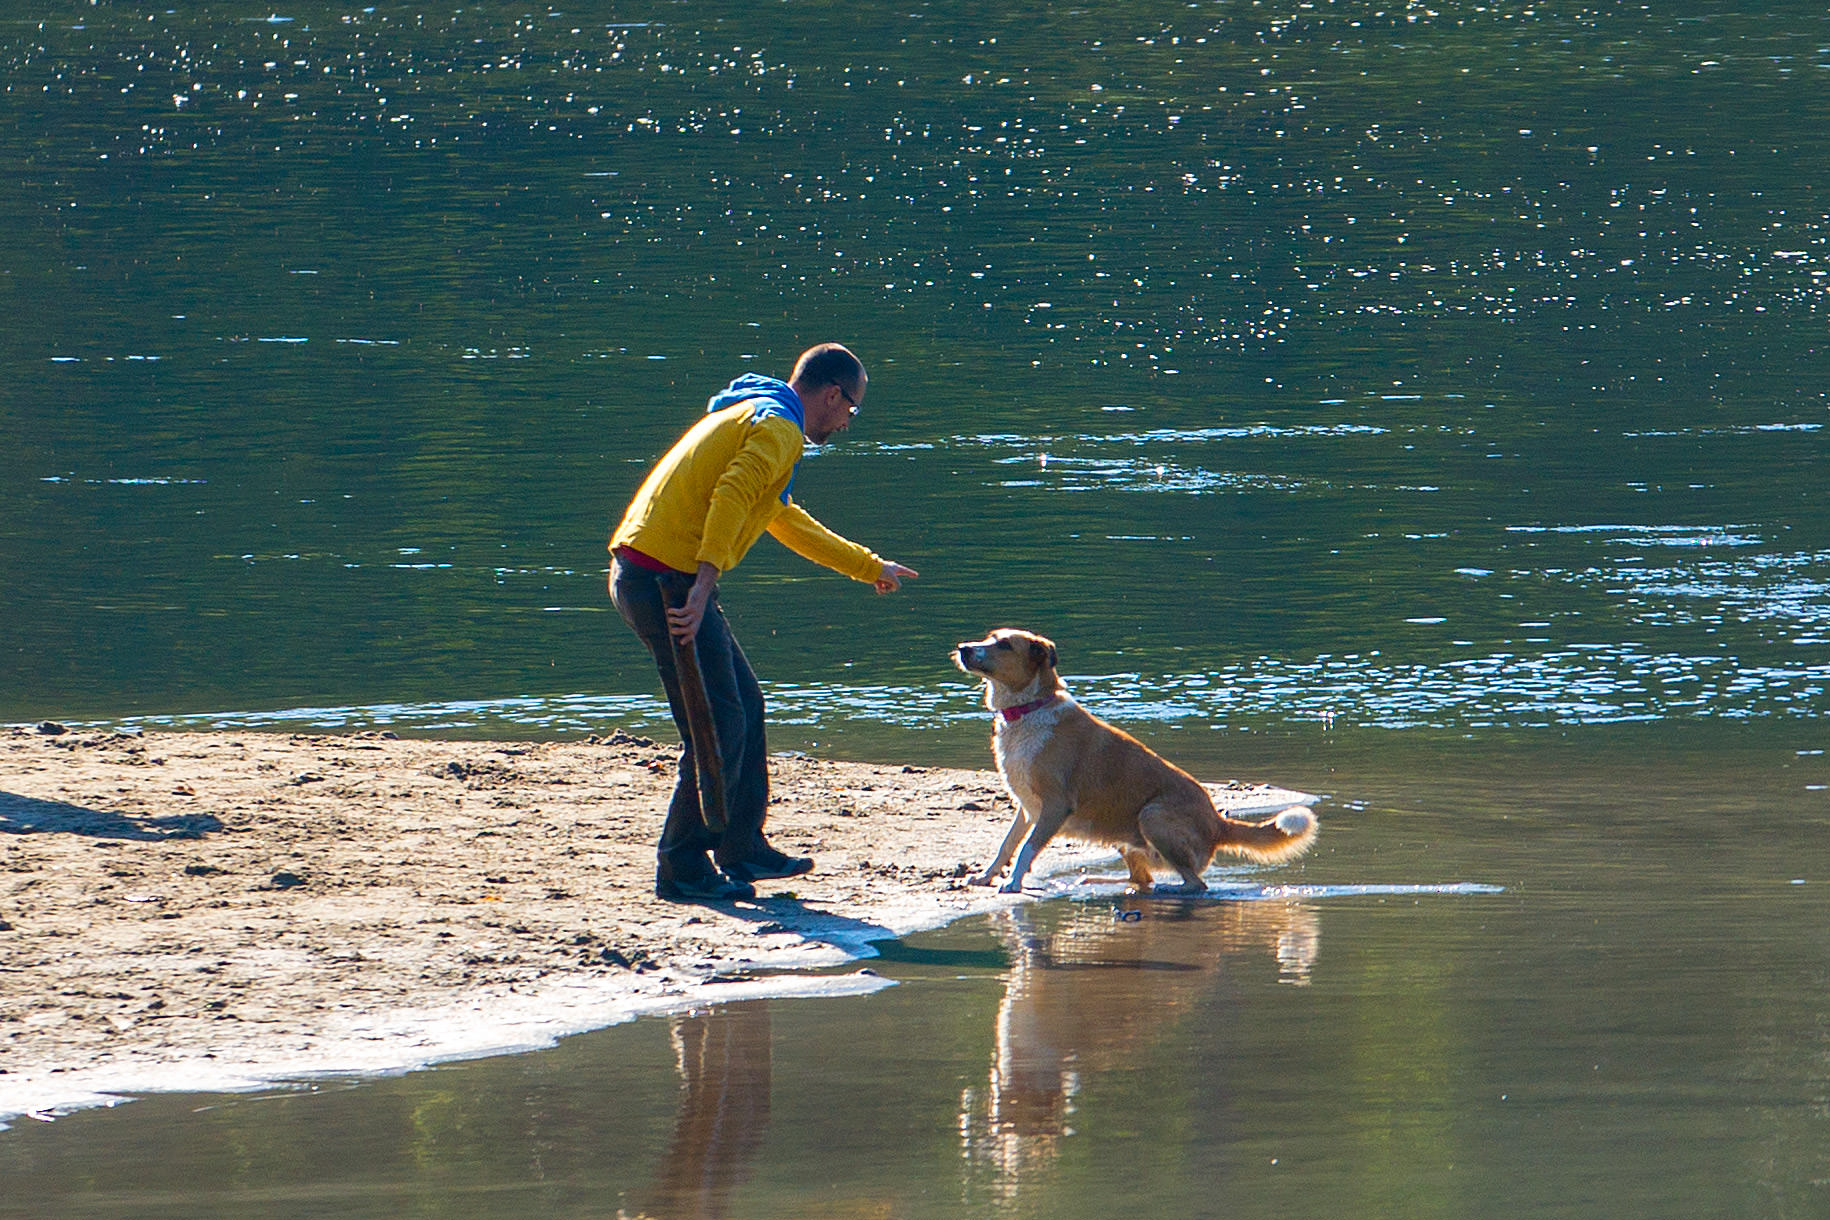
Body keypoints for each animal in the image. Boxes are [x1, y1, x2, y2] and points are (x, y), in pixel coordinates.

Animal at [958, 636, 1317, 892]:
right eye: (990, 637)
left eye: (1004, 644)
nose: (963, 648)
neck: (1029, 709)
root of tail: (1218, 824)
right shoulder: (1027, 807)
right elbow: (1007, 845)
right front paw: (986, 876)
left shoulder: (1055, 806)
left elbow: (1026, 849)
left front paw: (1012, 882)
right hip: (1125, 835)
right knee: (1143, 880)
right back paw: (1095, 882)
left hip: (1152, 814)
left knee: (1194, 883)